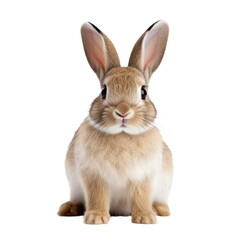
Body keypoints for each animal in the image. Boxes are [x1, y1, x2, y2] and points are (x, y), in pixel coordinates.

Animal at [58, 19, 174, 224]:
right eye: (104, 91)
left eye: (143, 92)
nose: (123, 112)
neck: (122, 135)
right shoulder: (94, 177)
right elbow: (97, 196)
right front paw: (96, 218)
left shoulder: (143, 177)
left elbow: (141, 196)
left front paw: (145, 218)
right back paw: (69, 208)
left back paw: (160, 209)